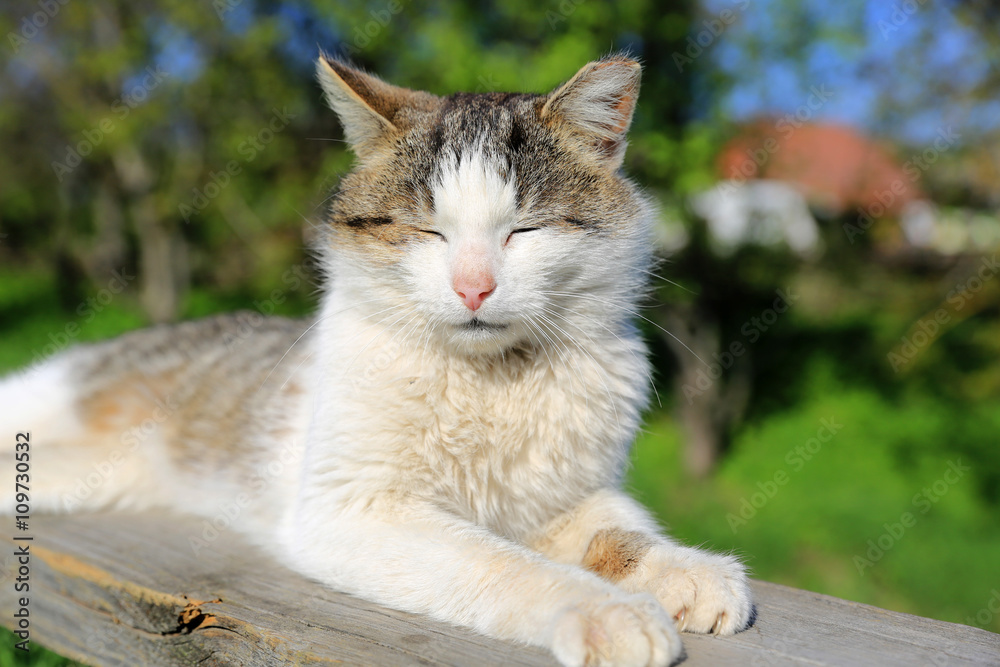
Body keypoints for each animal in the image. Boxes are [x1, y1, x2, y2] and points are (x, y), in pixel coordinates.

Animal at [1, 53, 752, 667]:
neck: (493, 381)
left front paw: (684, 569)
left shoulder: (572, 492)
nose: (473, 287)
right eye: (427, 231)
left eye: (525, 229)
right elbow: (499, 562)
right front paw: (604, 610)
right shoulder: (354, 508)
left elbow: (623, 527)